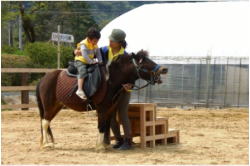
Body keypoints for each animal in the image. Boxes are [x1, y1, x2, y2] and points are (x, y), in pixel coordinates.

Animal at [35, 50, 168, 150]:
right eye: (145, 62)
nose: (164, 69)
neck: (110, 80)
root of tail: (43, 79)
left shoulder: (109, 109)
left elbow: (106, 126)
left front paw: (104, 145)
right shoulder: (102, 108)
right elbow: (101, 126)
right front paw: (99, 147)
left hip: (56, 106)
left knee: (46, 122)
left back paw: (47, 143)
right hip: (49, 105)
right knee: (45, 122)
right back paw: (46, 144)